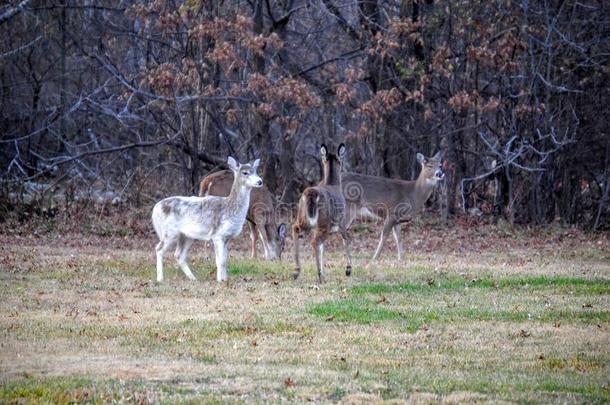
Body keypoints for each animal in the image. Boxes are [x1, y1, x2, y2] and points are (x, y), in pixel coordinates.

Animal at [290, 144, 352, 282]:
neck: (334, 184)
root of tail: (311, 193)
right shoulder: (342, 222)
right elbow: (346, 239)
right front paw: (348, 270)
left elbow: (323, 249)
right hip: (324, 222)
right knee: (315, 241)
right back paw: (320, 276)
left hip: (304, 218)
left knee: (295, 228)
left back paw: (296, 271)